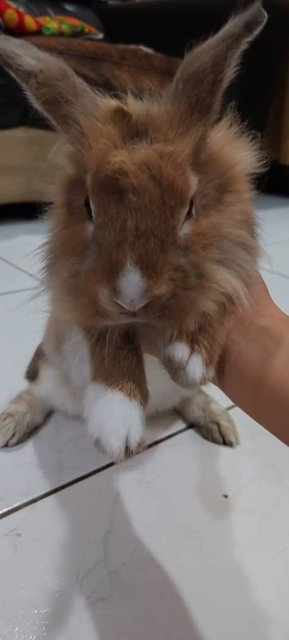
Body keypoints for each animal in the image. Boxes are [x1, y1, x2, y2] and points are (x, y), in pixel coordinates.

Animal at [0, 0, 266, 460]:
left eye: (190, 207)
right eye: (88, 205)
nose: (132, 297)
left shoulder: (234, 265)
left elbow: (218, 300)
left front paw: (191, 358)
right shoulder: (78, 296)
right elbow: (110, 335)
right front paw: (117, 420)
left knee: (188, 399)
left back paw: (218, 421)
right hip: (52, 368)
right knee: (37, 394)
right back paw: (10, 426)